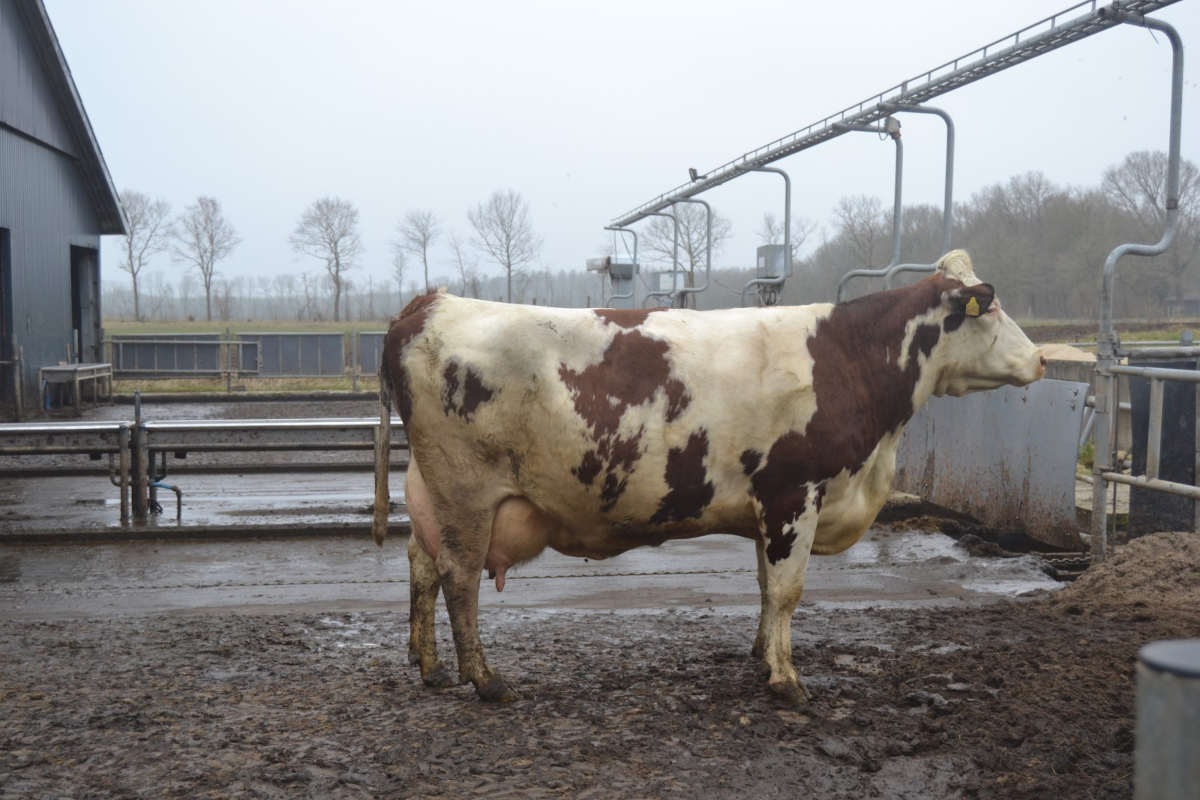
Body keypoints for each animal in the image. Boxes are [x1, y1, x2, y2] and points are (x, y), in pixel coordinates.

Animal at [371, 249, 1045, 705]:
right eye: (991, 308)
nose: (1041, 359)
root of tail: (432, 302)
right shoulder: (794, 493)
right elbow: (787, 590)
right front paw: (787, 680)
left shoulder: (768, 508)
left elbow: (765, 586)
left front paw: (761, 657)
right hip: (467, 492)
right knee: (459, 579)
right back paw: (485, 680)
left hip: (433, 490)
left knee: (422, 566)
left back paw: (431, 667)